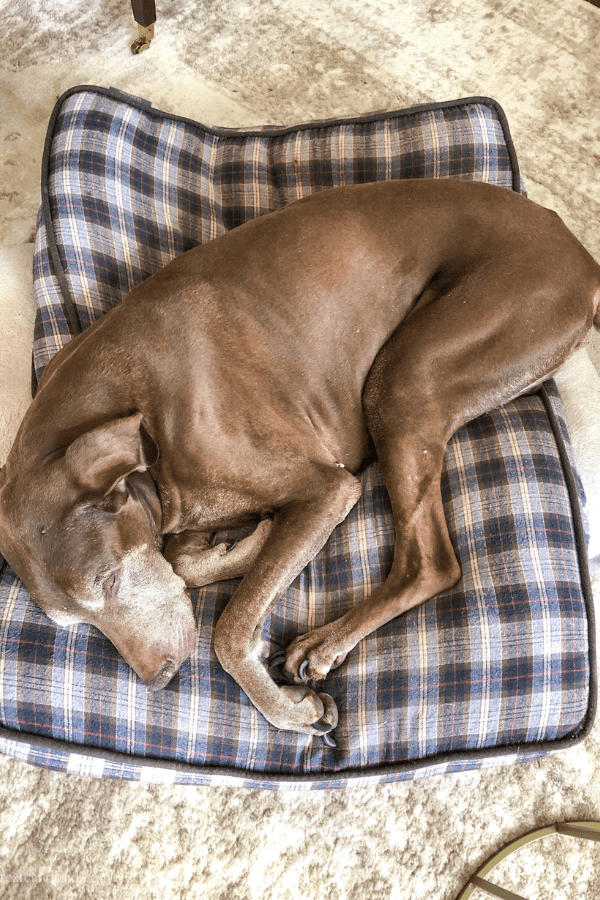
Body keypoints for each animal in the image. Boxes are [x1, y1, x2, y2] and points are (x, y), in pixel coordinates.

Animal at [1, 181, 600, 740]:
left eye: (106, 582)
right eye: (73, 622)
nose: (160, 678)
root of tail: (580, 254)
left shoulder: (326, 489)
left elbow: (230, 630)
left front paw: (287, 711)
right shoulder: (183, 511)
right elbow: (187, 562)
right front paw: (251, 543)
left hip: (409, 374)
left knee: (430, 562)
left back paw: (323, 644)